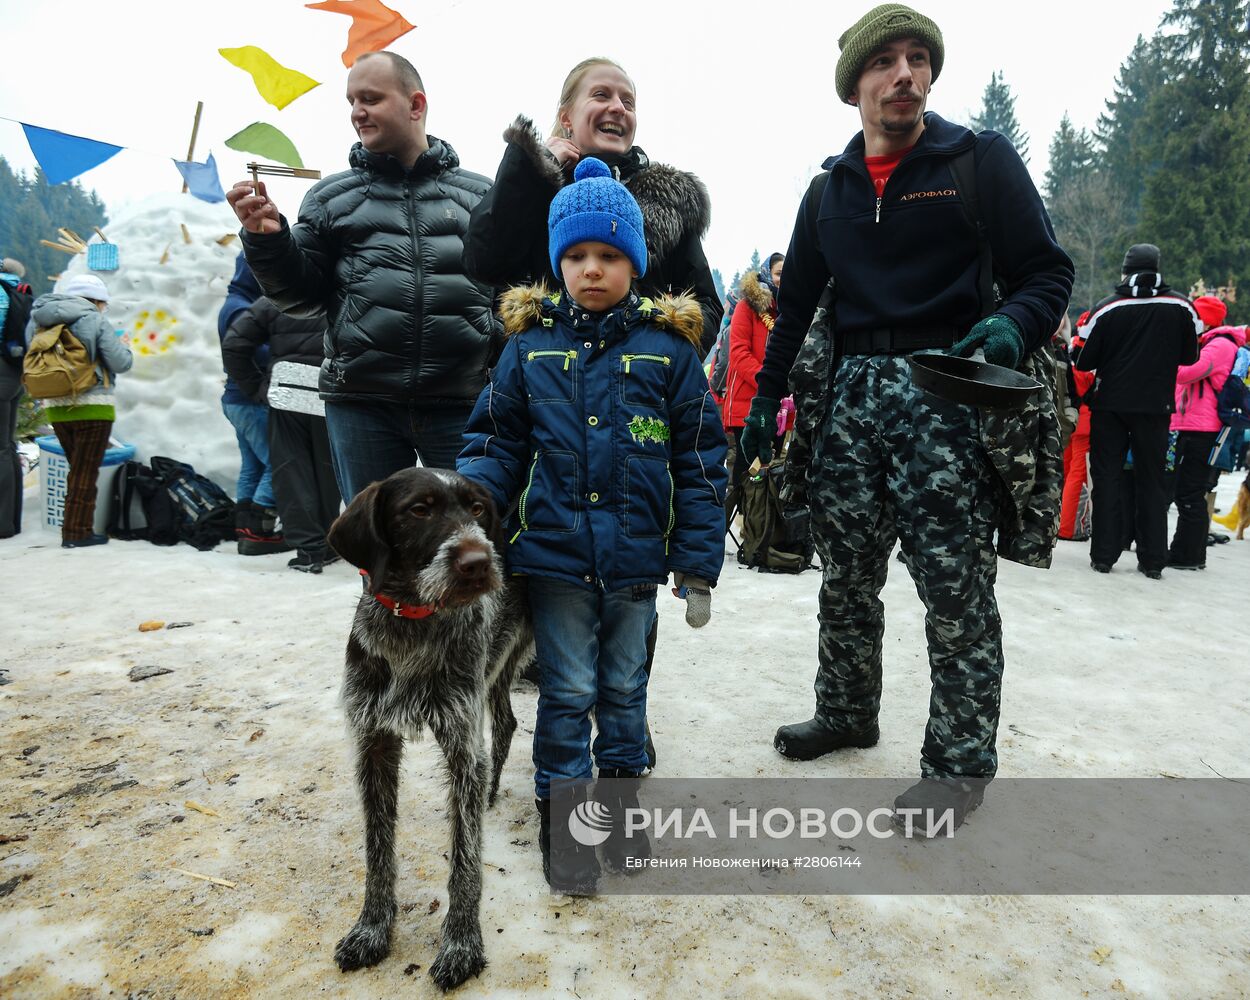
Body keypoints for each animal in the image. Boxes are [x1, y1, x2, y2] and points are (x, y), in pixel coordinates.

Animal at [325, 470, 530, 990]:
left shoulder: (461, 746)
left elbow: (465, 860)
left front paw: (461, 944)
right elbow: (378, 852)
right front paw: (371, 930)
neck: (412, 626)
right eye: (419, 510)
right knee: (505, 725)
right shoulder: (373, 744)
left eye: (477, 509)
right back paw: (492, 792)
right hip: (495, 675)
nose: (479, 562)